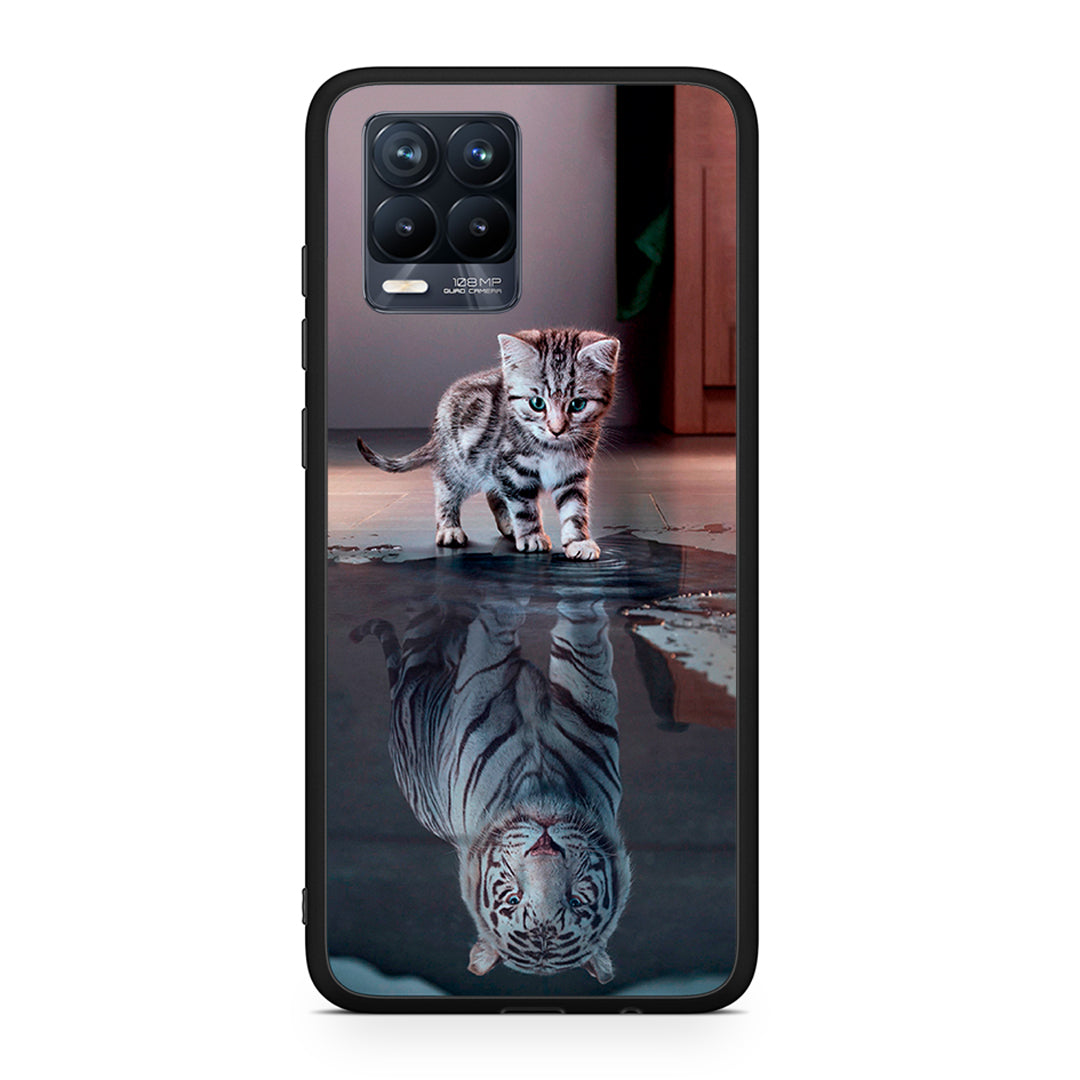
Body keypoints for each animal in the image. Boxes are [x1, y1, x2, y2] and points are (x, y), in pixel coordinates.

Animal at [353, 592, 629, 983]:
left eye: (575, 901)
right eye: (513, 899)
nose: (546, 844)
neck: (541, 787)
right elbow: (523, 637)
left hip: (421, 655)